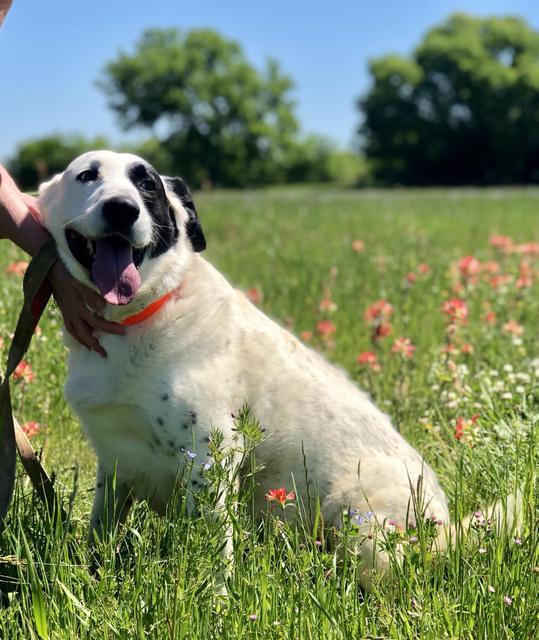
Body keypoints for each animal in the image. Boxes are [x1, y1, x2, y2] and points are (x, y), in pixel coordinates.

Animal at [37, 150, 472, 592]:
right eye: (88, 175)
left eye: (147, 186)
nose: (122, 209)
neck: (137, 318)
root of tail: (447, 535)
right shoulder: (115, 463)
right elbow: (100, 531)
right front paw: (92, 577)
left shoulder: (209, 458)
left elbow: (214, 550)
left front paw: (215, 598)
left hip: (356, 516)